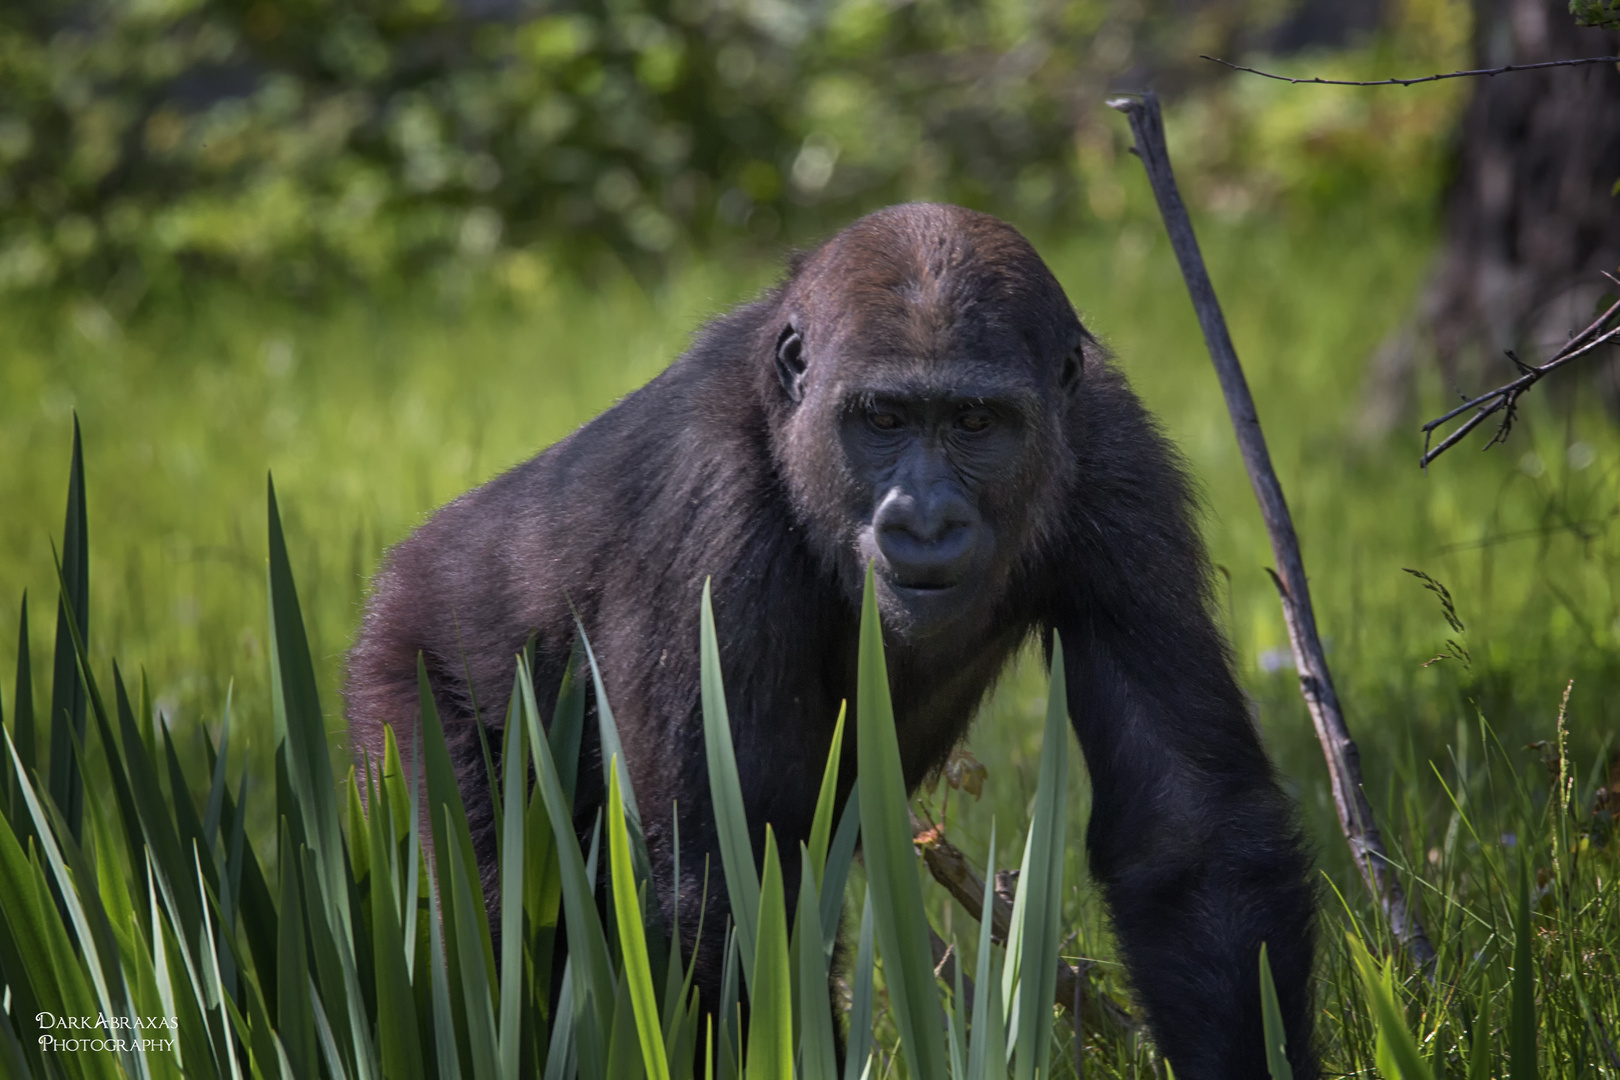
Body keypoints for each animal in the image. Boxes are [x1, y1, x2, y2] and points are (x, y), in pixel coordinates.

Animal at [345, 204, 1315, 1080]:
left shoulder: (1117, 457)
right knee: (490, 911)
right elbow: (719, 888)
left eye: (976, 422)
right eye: (882, 418)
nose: (924, 520)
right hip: (410, 669)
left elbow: (1187, 830)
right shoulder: (709, 513)